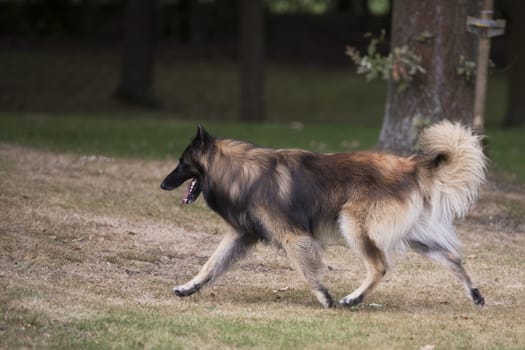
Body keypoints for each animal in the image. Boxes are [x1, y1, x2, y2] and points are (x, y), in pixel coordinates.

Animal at [161, 121, 488, 308]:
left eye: (181, 163)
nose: (163, 184)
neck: (239, 171)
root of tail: (411, 166)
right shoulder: (240, 235)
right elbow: (210, 265)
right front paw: (188, 287)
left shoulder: (293, 236)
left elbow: (306, 270)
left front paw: (324, 297)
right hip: (413, 235)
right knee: (453, 258)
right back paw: (475, 294)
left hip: (353, 224)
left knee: (380, 267)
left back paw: (353, 298)